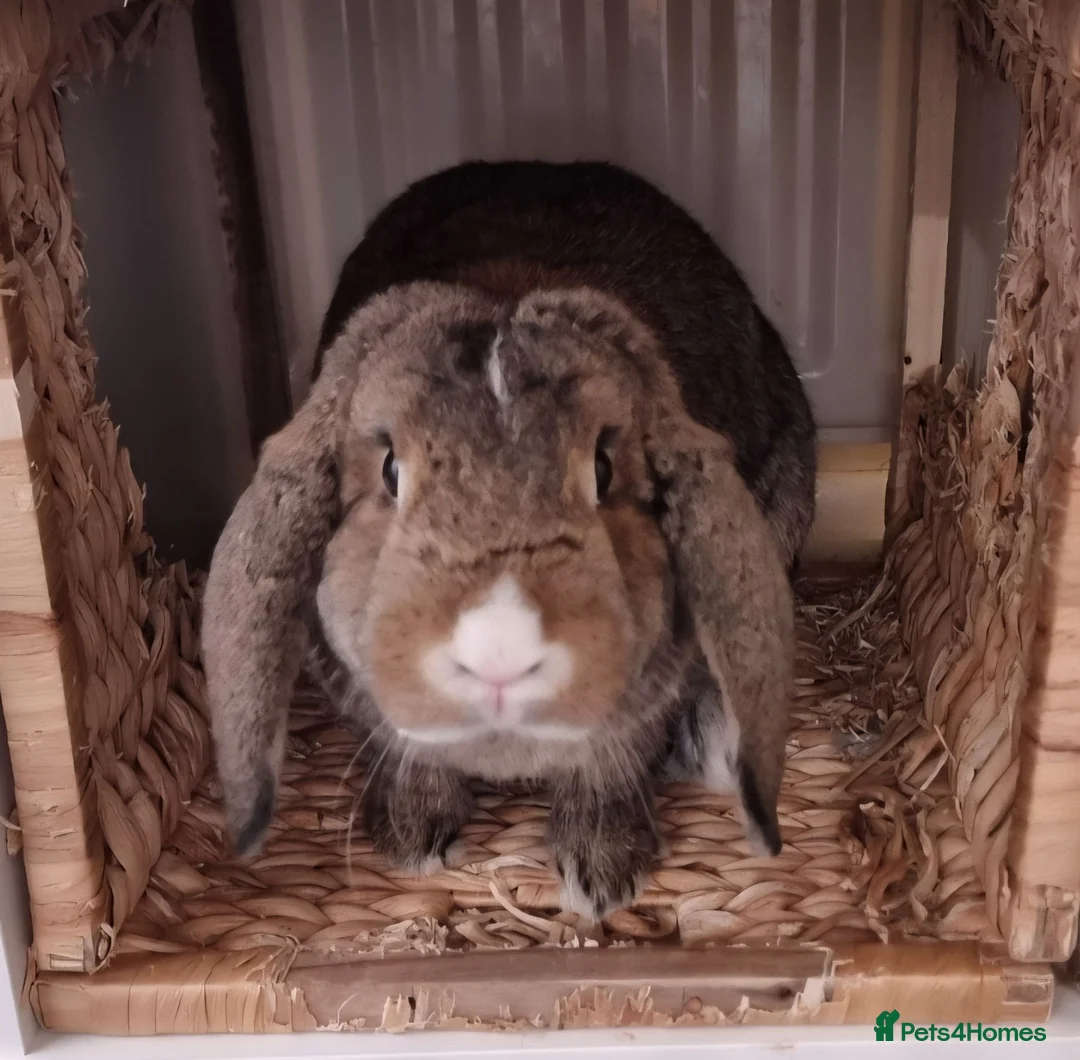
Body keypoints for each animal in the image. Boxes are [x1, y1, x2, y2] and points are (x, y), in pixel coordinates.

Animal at [202, 160, 817, 920]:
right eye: (391, 470)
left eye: (602, 469)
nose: (500, 650)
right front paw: (411, 839)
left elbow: (607, 756)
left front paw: (601, 876)